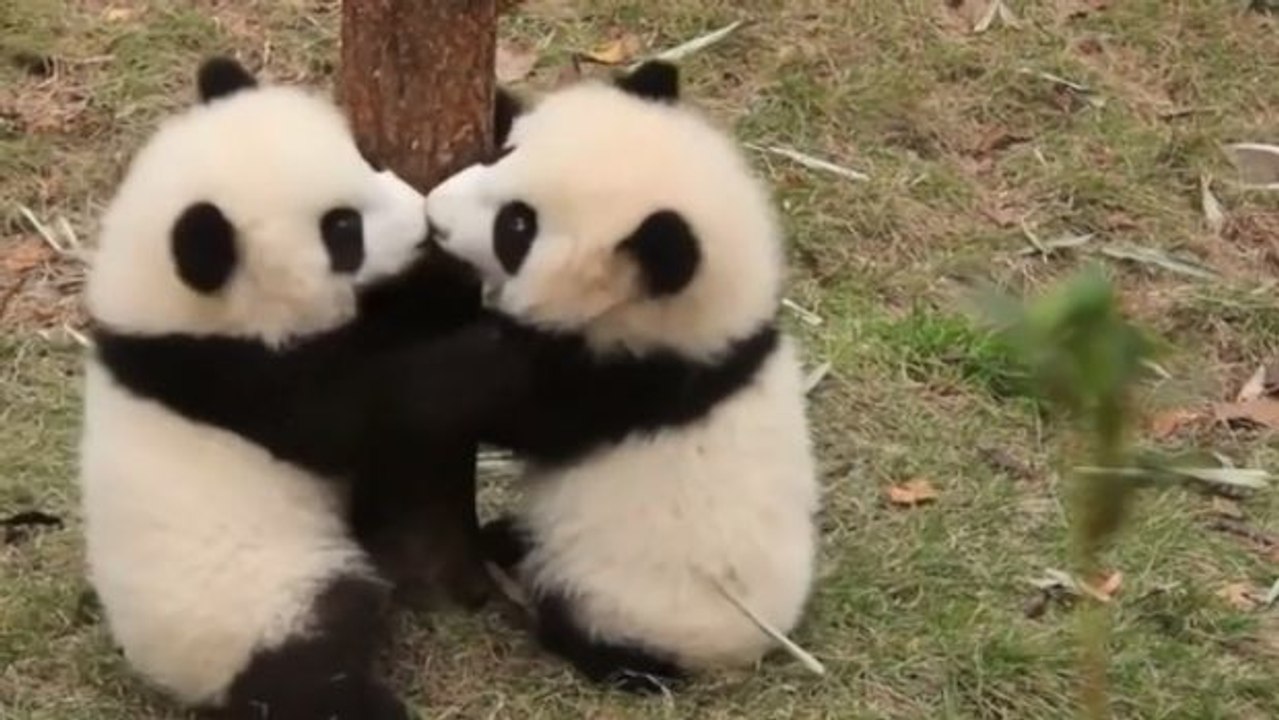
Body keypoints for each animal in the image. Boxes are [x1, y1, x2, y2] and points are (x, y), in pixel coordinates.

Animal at [78, 59, 509, 716]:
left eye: (365, 156)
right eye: (343, 231)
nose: (422, 218)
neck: (163, 319)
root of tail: (180, 683)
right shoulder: (239, 380)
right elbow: (371, 411)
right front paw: (480, 327)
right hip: (267, 603)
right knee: (315, 666)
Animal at [419, 63, 818, 690]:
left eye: (517, 228)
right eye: (504, 151)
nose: (434, 212)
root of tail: (748, 649)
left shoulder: (621, 382)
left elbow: (471, 396)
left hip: (627, 597)